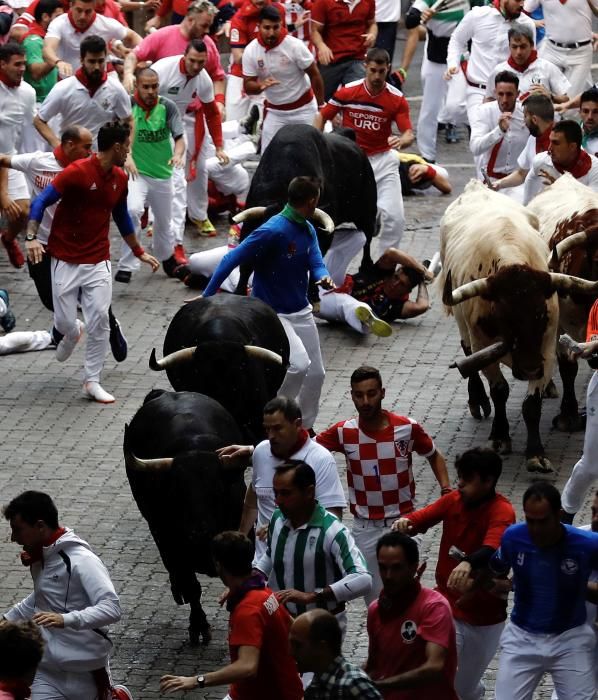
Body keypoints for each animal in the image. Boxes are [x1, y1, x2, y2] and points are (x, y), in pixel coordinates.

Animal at [125, 392, 247, 644]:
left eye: (218, 490)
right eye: (177, 493)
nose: (197, 534)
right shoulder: (169, 540)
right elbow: (192, 586)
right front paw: (199, 625)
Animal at [233, 121, 378, 292]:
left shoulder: (322, 235)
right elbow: (245, 264)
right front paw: (239, 291)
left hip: (367, 213)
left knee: (368, 238)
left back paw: (366, 267)